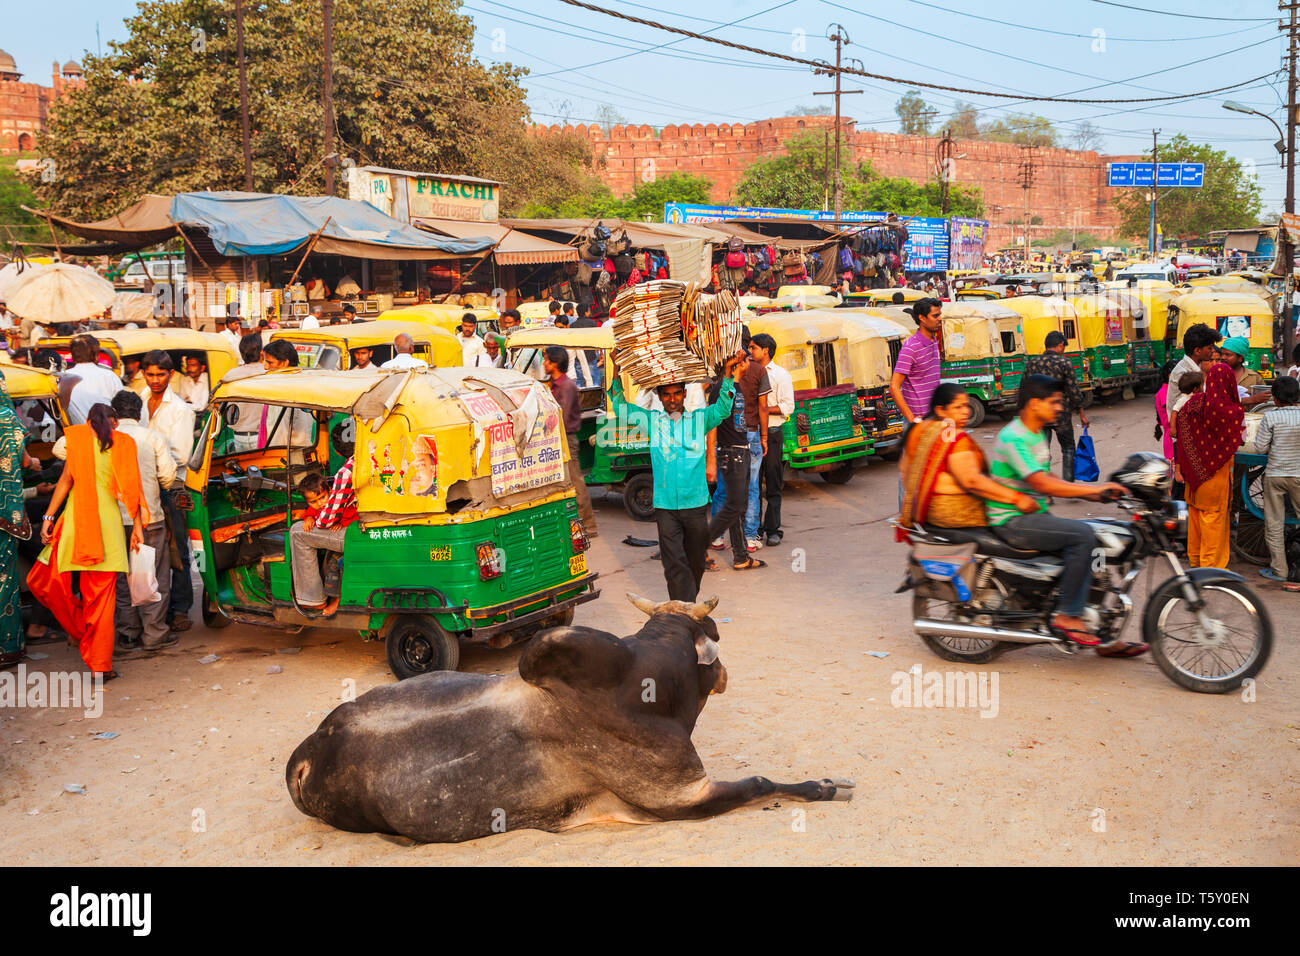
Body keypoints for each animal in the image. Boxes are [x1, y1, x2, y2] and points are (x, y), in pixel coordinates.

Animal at [284, 590, 852, 842]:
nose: (727, 673)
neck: (653, 690)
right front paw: (826, 786)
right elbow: (760, 782)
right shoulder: (680, 796)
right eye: (714, 631)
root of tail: (306, 755)